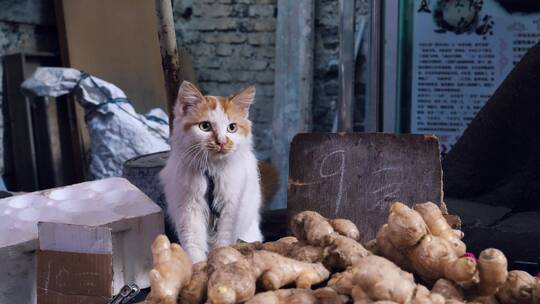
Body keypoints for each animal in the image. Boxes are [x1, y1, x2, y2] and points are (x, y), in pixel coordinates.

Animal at [159, 81, 262, 264]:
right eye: (205, 126)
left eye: (232, 128)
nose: (221, 142)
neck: (211, 171)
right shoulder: (189, 211)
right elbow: (194, 247)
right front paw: (197, 267)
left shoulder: (230, 210)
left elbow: (223, 243)